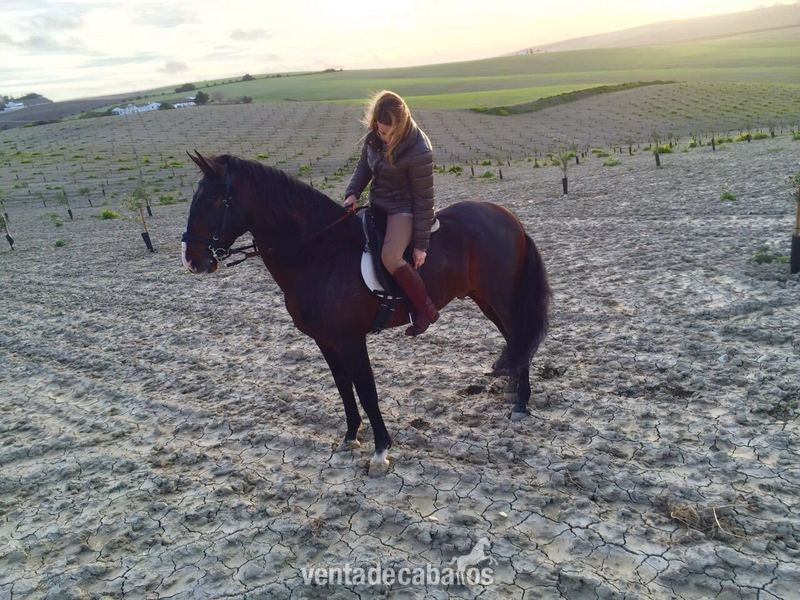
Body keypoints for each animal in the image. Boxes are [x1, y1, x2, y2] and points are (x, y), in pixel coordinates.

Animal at [181, 151, 551, 476]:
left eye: (215, 201)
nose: (191, 260)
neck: (319, 252)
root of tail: (507, 217)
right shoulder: (325, 341)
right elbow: (344, 387)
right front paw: (350, 437)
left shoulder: (350, 340)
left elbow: (367, 391)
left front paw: (380, 451)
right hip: (484, 299)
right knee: (515, 339)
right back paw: (513, 390)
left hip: (500, 298)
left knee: (520, 335)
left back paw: (521, 402)